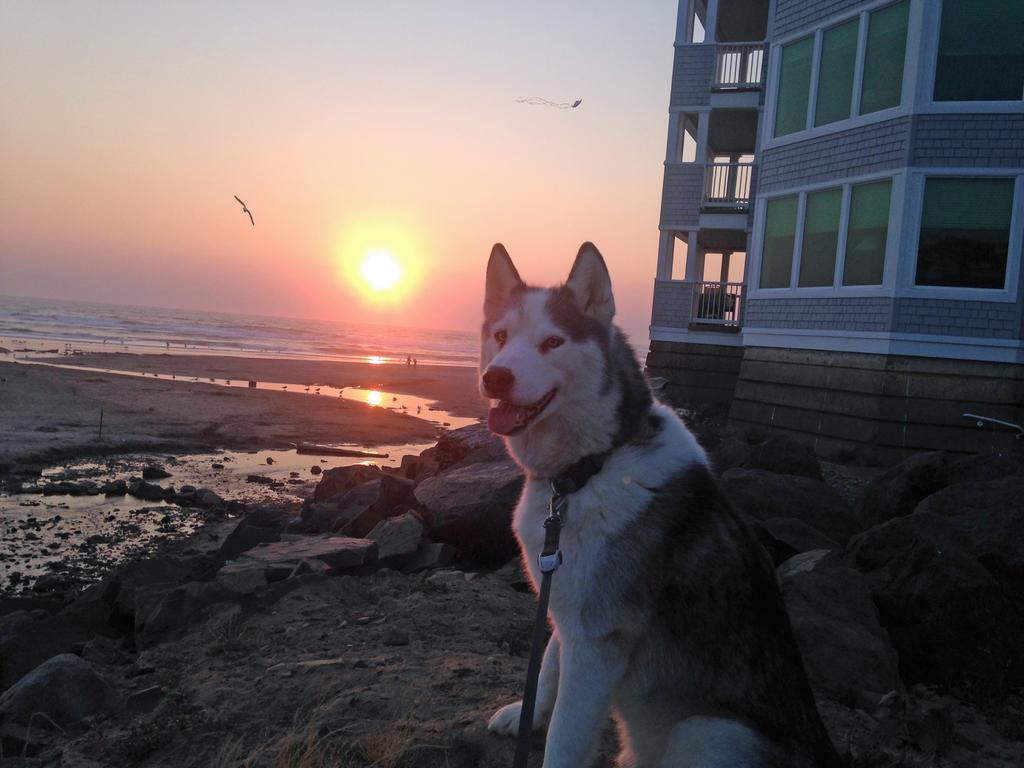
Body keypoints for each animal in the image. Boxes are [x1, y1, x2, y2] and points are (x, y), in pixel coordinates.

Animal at [481, 244, 839, 768]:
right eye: (501, 336)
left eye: (552, 342)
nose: (495, 377)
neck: (591, 467)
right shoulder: (569, 606)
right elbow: (548, 661)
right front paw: (525, 714)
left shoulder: (597, 641)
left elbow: (565, 738)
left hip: (710, 732)